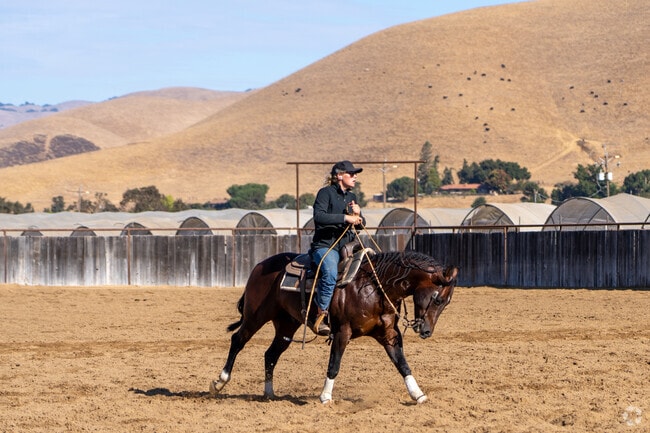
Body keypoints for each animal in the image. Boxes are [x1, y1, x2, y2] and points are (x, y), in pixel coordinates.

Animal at [209, 249, 458, 404]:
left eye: (447, 302)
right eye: (437, 299)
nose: (426, 331)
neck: (375, 287)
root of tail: (260, 266)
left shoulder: (389, 334)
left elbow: (403, 365)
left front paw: (418, 395)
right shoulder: (342, 332)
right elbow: (334, 365)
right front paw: (325, 397)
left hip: (286, 326)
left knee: (270, 354)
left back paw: (269, 393)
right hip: (256, 316)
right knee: (238, 340)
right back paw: (219, 382)